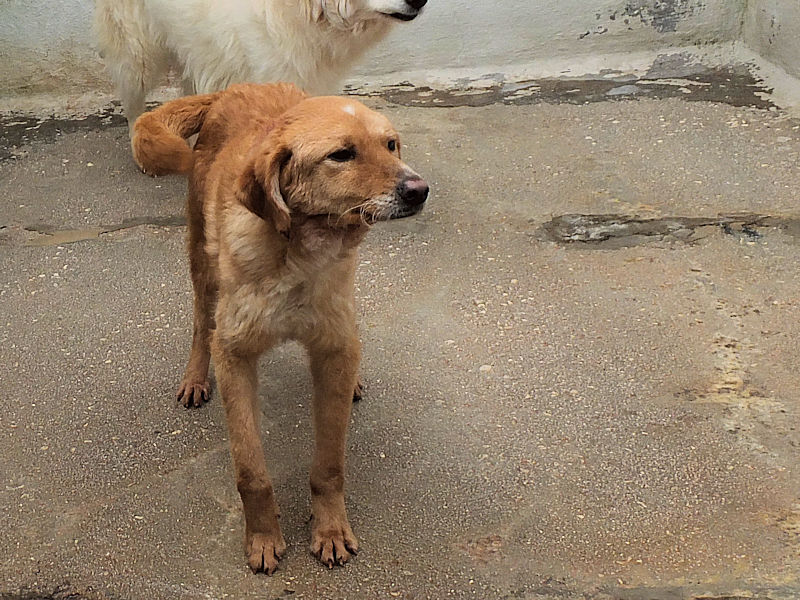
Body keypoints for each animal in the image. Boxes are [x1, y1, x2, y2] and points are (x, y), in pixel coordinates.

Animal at [131, 83, 428, 573]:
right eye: (341, 154)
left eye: (390, 144)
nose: (420, 190)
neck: (298, 255)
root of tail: (232, 88)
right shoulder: (234, 355)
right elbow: (251, 473)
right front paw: (264, 538)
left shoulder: (333, 345)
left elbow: (329, 466)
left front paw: (330, 530)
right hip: (201, 261)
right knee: (199, 323)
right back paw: (195, 375)